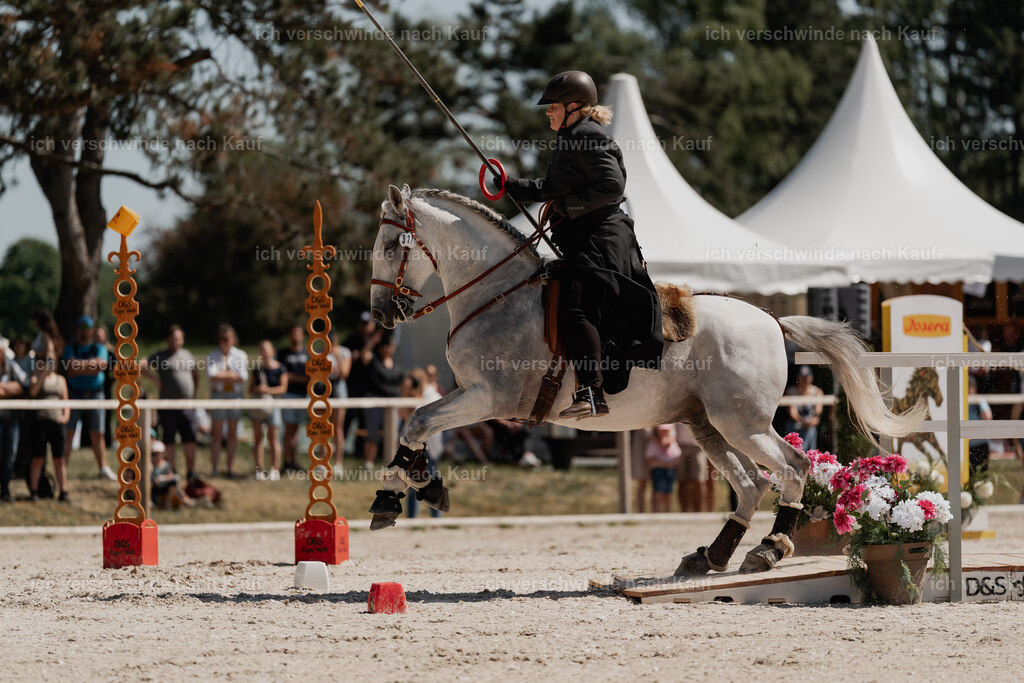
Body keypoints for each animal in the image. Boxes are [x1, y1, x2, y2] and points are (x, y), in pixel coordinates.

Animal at [367, 184, 926, 575]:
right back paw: (711, 556)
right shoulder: (473, 397)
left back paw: (769, 549)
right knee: (750, 485)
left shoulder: (486, 398)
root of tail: (771, 319)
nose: (381, 314)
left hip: (741, 424)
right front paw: (422, 483)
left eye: (392, 244)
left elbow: (418, 420)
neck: (498, 295)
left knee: (792, 469)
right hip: (707, 426)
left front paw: (396, 492)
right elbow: (418, 422)